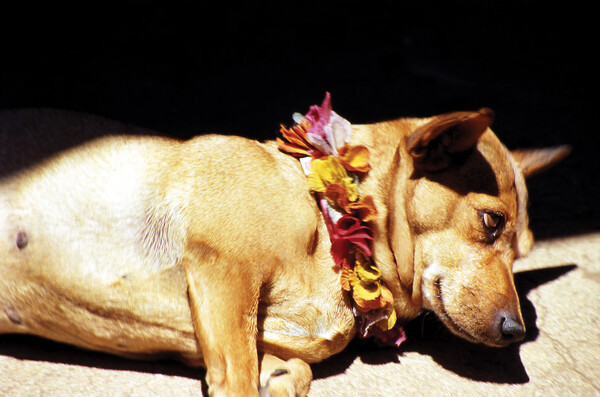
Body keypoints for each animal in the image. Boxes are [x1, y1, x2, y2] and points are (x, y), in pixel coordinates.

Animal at [0, 96, 568, 396]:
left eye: (523, 252)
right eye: (490, 221)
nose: (516, 331)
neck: (325, 217)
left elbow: (290, 368)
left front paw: (281, 375)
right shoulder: (224, 271)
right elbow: (238, 378)